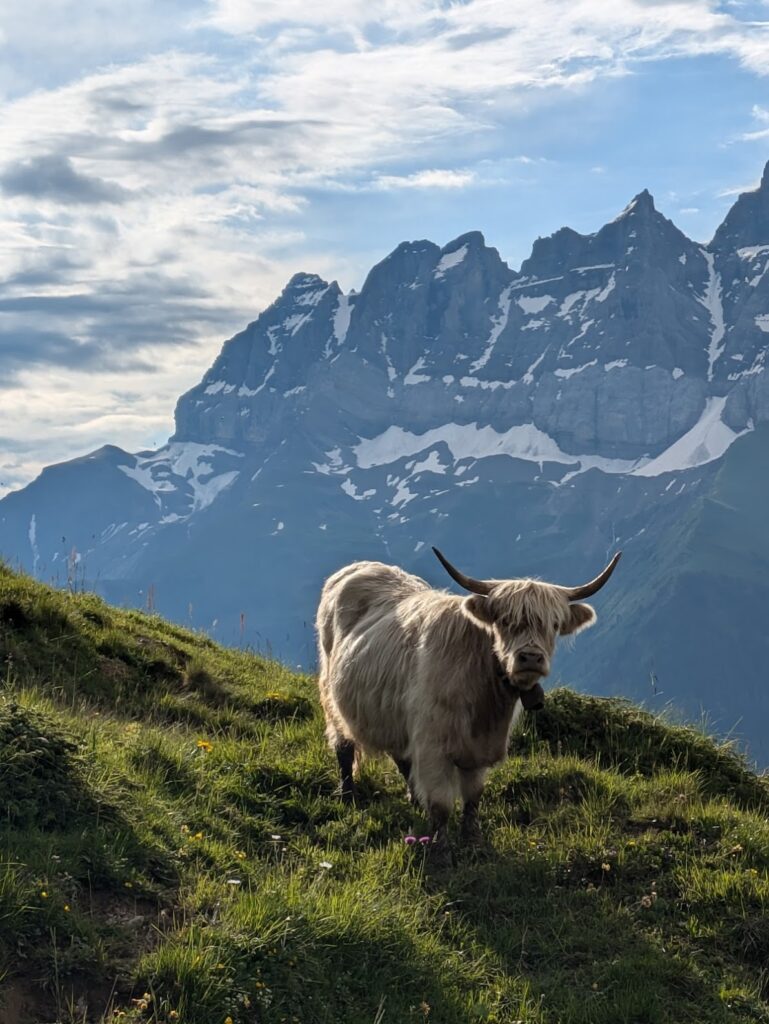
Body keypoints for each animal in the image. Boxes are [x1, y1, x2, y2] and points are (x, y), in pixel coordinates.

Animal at [315, 548, 622, 851]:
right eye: (505, 621)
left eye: (554, 624)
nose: (531, 657)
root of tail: (360, 566)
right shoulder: (433, 746)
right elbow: (441, 805)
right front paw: (441, 850)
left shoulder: (478, 749)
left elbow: (473, 796)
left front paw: (472, 839)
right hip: (331, 694)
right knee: (343, 747)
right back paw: (348, 795)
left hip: (390, 713)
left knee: (400, 756)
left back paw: (413, 798)